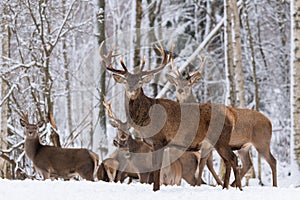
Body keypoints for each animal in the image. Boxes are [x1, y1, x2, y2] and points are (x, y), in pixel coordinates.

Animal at [99, 42, 240, 191]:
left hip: (221, 139)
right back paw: (228, 187)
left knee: (233, 159)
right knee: (228, 161)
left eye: (140, 82)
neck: (145, 120)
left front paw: (156, 189)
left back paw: (237, 188)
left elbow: (157, 169)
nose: (131, 90)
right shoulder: (152, 144)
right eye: (126, 81)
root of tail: (231, 115)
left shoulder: (160, 140)